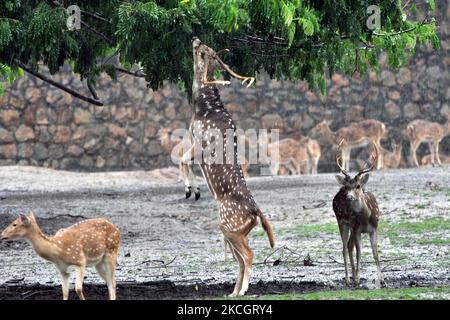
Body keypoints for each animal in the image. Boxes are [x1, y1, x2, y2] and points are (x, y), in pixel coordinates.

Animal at [180, 38, 274, 296]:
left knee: (249, 255)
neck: (203, 108)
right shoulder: (193, 139)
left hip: (228, 225)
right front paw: (193, 190)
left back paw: (241, 291)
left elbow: (182, 158)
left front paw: (191, 189)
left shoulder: (200, 141)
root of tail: (256, 213)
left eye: (204, 52)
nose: (196, 39)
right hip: (235, 230)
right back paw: (232, 291)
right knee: (241, 259)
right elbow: (184, 159)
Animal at [332, 140, 382, 288]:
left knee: (349, 246)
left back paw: (353, 276)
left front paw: (382, 279)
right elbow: (360, 253)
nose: (348, 196)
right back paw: (349, 279)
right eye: (347, 186)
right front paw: (358, 279)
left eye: (358, 186)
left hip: (351, 228)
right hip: (341, 221)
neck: (366, 218)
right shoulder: (358, 230)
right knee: (344, 248)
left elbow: (375, 253)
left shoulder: (374, 229)